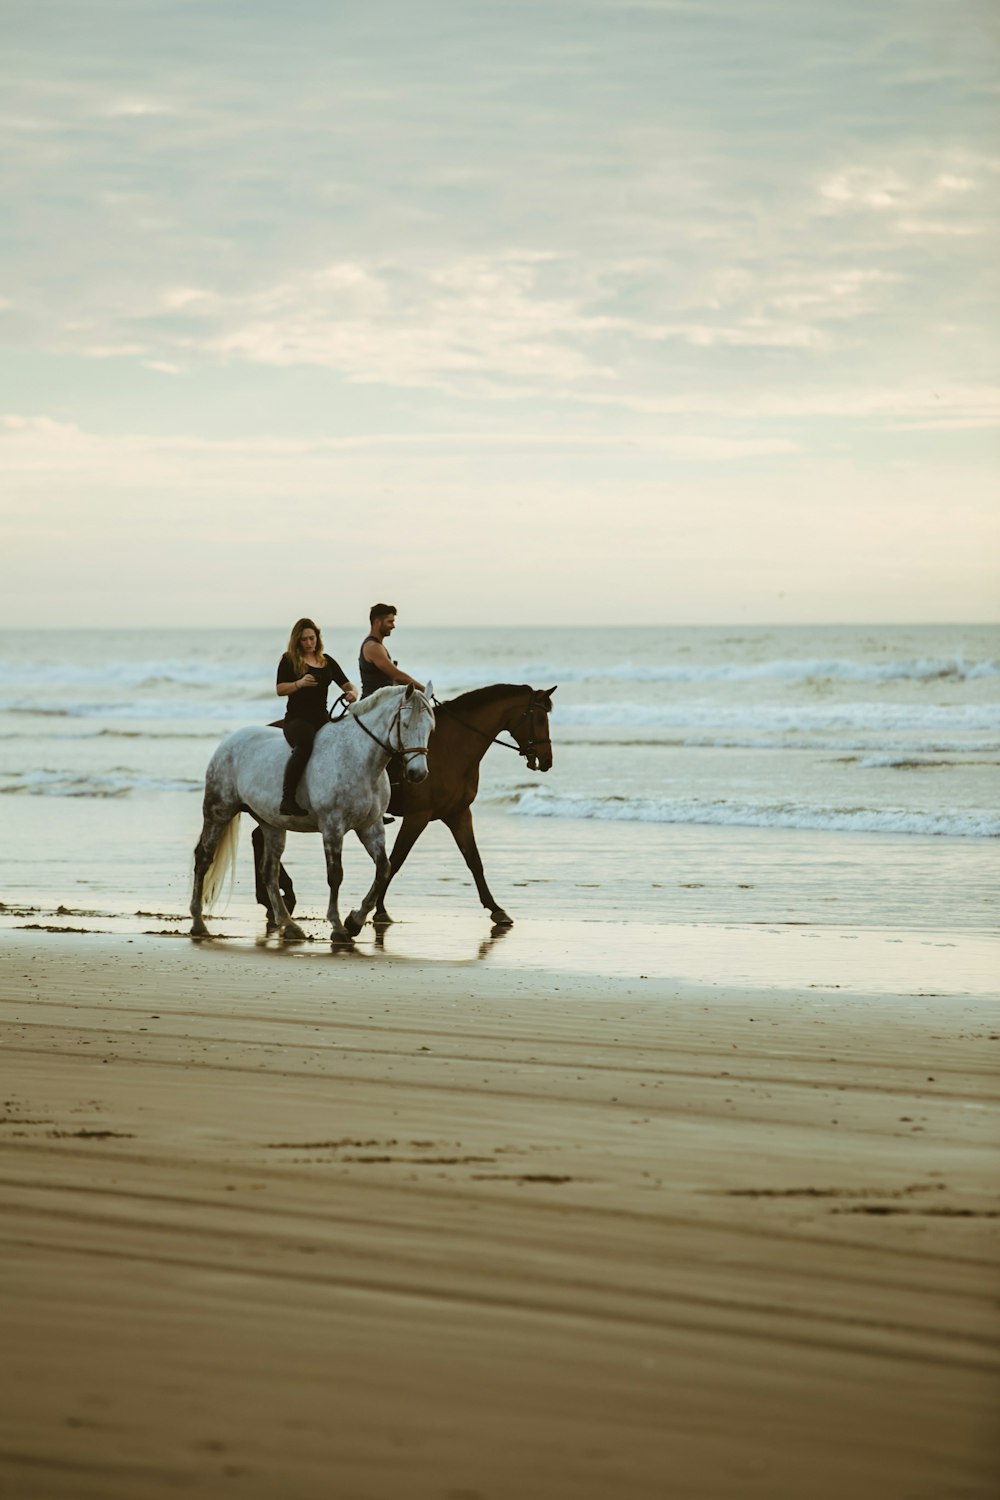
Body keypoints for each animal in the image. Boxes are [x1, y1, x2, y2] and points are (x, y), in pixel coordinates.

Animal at [191, 687, 434, 942]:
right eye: (405, 724)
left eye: (430, 727)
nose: (418, 773)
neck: (358, 759)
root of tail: (228, 742)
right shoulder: (332, 826)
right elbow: (335, 874)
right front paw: (338, 926)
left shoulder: (371, 827)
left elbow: (383, 869)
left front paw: (355, 921)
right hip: (219, 811)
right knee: (204, 858)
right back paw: (198, 923)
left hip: (271, 824)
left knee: (269, 871)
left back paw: (289, 925)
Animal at [251, 684, 554, 936]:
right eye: (539, 719)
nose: (547, 760)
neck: (453, 747)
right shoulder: (418, 816)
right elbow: (395, 860)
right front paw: (375, 911)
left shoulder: (458, 813)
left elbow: (474, 861)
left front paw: (497, 910)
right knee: (259, 839)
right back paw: (277, 899)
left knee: (258, 837)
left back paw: (274, 899)